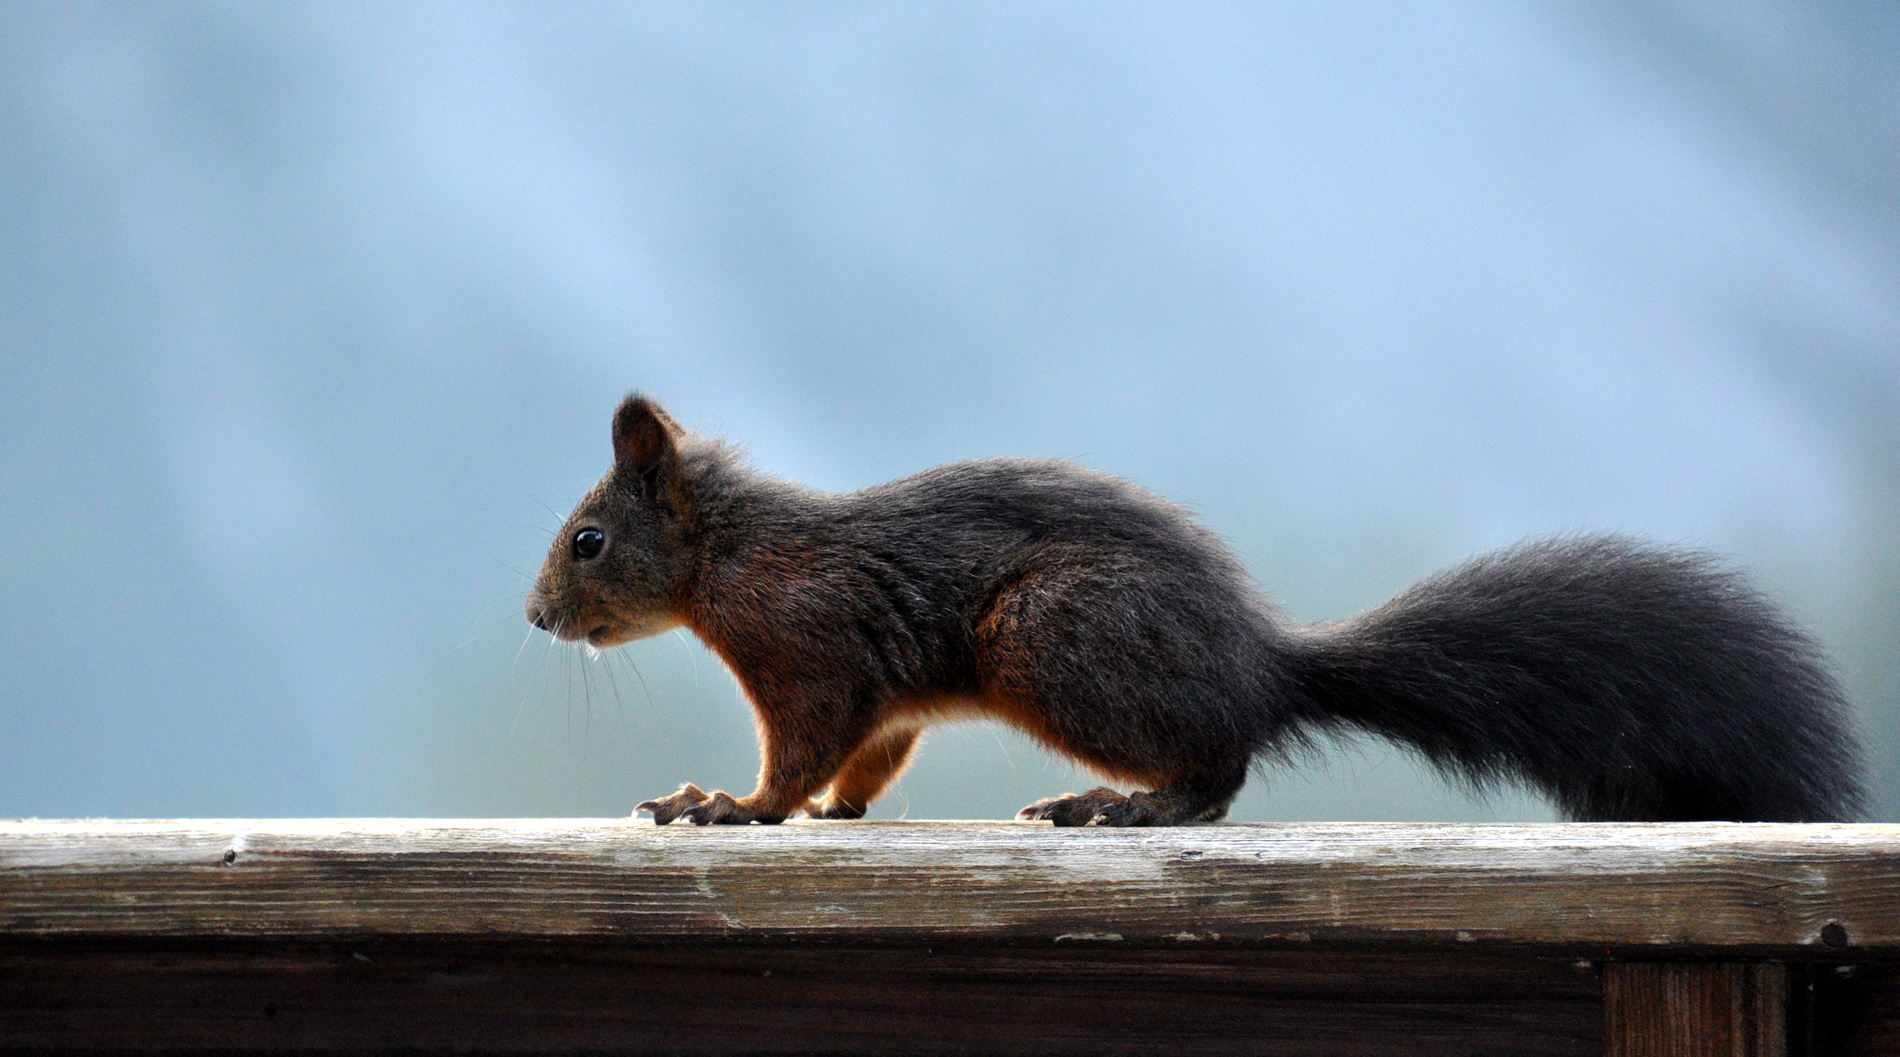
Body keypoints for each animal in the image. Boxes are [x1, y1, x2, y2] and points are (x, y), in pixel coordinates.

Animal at [524, 393, 1869, 825]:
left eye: (588, 541)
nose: (536, 618)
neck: (735, 554)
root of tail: (1265, 663)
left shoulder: (807, 644)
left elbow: (802, 750)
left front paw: (727, 807)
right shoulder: (885, 696)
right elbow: (870, 757)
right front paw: (837, 812)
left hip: (1054, 639)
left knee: (1219, 765)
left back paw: (1121, 804)